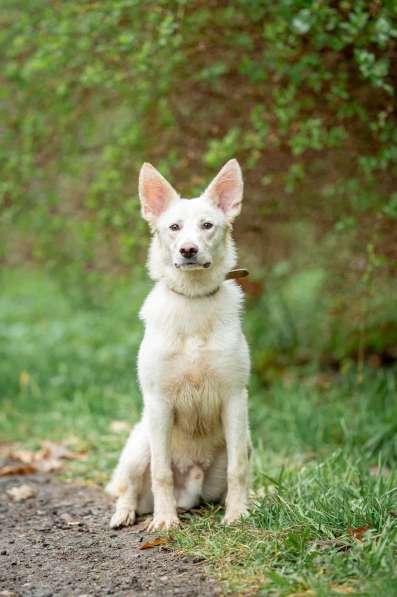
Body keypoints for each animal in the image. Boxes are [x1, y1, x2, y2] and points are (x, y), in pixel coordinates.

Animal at [106, 158, 251, 532]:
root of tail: (192, 485)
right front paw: (165, 521)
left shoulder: (234, 398)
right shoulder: (158, 403)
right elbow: (161, 473)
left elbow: (238, 469)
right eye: (174, 227)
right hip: (139, 444)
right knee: (129, 488)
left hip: (245, 440)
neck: (193, 302)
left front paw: (238, 514)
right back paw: (127, 514)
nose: (188, 250)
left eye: (207, 226)